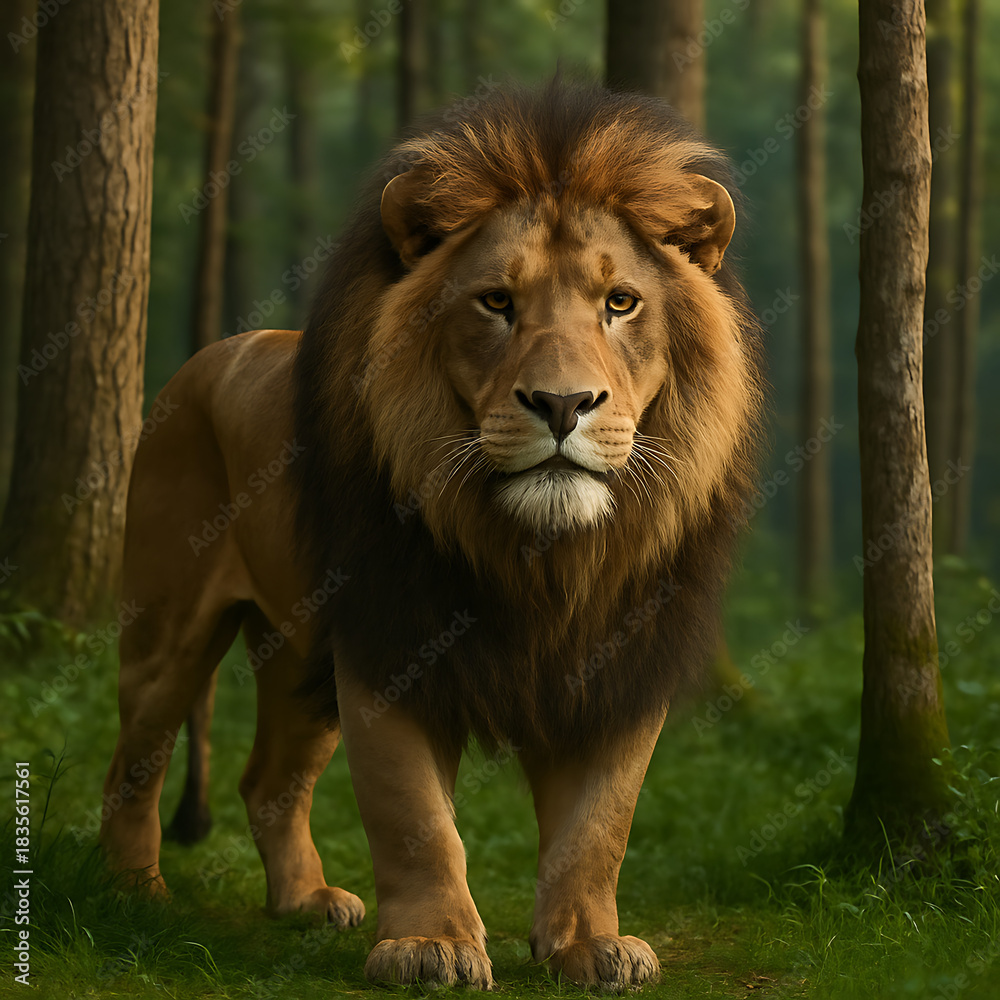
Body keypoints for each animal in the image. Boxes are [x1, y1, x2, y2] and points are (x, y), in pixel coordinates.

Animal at [100, 82, 762, 990]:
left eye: (620, 303)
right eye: (497, 302)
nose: (562, 404)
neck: (544, 557)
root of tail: (210, 354)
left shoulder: (621, 665)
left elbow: (599, 826)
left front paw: (590, 946)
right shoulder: (388, 641)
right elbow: (412, 815)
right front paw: (430, 946)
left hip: (300, 653)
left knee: (269, 778)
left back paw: (303, 903)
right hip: (171, 627)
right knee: (135, 757)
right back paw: (130, 891)